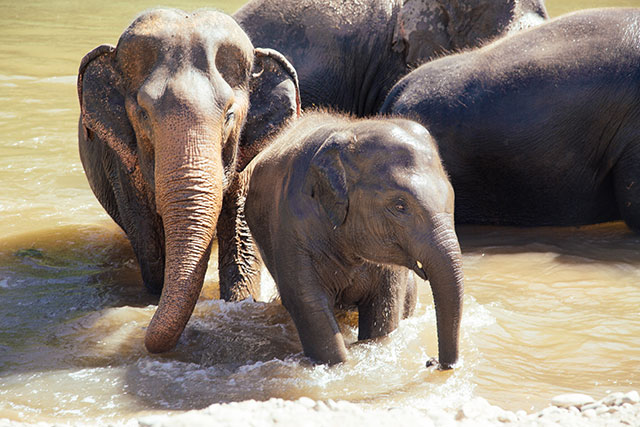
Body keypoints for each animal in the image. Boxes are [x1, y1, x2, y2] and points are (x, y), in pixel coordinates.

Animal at [77, 8, 300, 354]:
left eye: (229, 114)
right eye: (143, 114)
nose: (140, 334)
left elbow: (241, 237)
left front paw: (240, 301)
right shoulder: (123, 165)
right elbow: (150, 245)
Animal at [239, 112, 465, 368]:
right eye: (400, 205)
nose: (431, 362)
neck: (349, 132)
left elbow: (384, 306)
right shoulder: (292, 224)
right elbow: (309, 304)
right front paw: (339, 366)